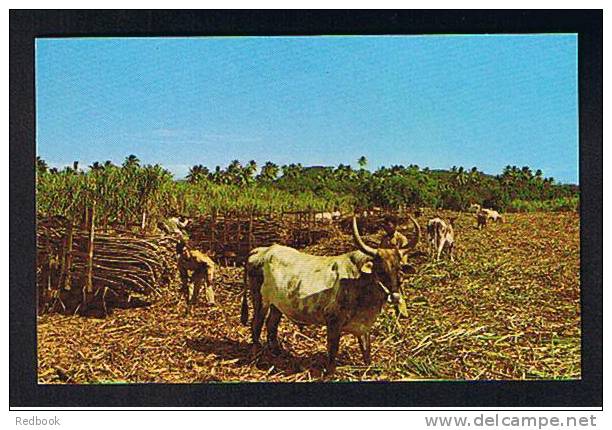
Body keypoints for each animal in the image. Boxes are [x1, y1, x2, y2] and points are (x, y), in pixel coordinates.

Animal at [241, 217, 418, 372]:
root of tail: (262, 250)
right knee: (256, 325)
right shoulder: (333, 321)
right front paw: (330, 372)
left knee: (271, 325)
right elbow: (333, 349)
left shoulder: (363, 327)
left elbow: (366, 350)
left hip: (277, 305)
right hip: (260, 300)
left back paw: (277, 352)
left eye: (399, 269)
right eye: (380, 270)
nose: (395, 297)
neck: (359, 280)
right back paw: (257, 355)